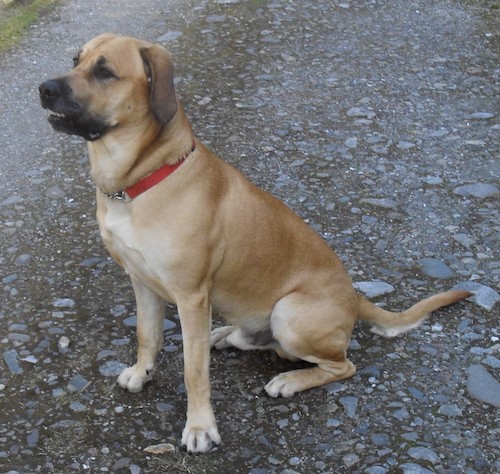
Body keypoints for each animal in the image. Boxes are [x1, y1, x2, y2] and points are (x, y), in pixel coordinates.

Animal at [40, 33, 472, 452]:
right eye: (76, 59)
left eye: (105, 71)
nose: (43, 88)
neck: (138, 183)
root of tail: (354, 298)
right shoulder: (142, 281)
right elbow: (148, 335)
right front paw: (141, 371)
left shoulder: (191, 297)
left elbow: (193, 371)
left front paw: (200, 427)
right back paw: (225, 336)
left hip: (290, 314)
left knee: (341, 366)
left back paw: (289, 381)